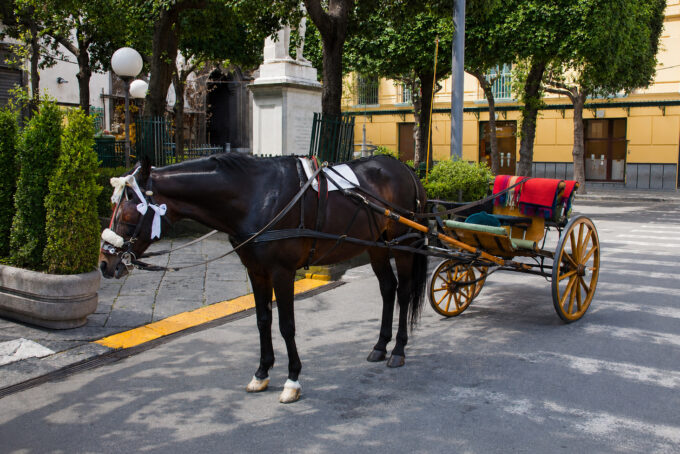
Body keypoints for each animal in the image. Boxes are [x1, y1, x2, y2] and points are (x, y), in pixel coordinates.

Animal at [99, 153, 428, 403]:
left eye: (127, 215)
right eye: (112, 207)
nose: (104, 263)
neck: (255, 196)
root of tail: (405, 169)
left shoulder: (282, 272)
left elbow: (286, 325)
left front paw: (292, 380)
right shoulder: (256, 271)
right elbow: (262, 321)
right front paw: (261, 373)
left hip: (403, 244)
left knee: (404, 292)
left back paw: (398, 349)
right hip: (377, 246)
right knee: (388, 288)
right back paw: (380, 345)